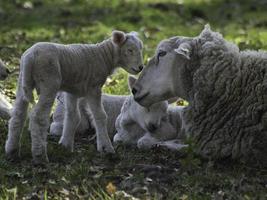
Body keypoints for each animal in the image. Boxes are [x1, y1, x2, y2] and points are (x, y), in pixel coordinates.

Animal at [5, 30, 144, 164]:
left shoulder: (73, 91)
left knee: (18, 115)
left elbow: (73, 117)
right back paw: (40, 156)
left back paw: (12, 152)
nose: (141, 67)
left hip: (22, 82)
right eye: (130, 50)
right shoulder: (93, 88)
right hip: (48, 82)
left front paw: (65, 146)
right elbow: (100, 116)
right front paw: (106, 148)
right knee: (38, 117)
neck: (103, 56)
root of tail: (30, 57)